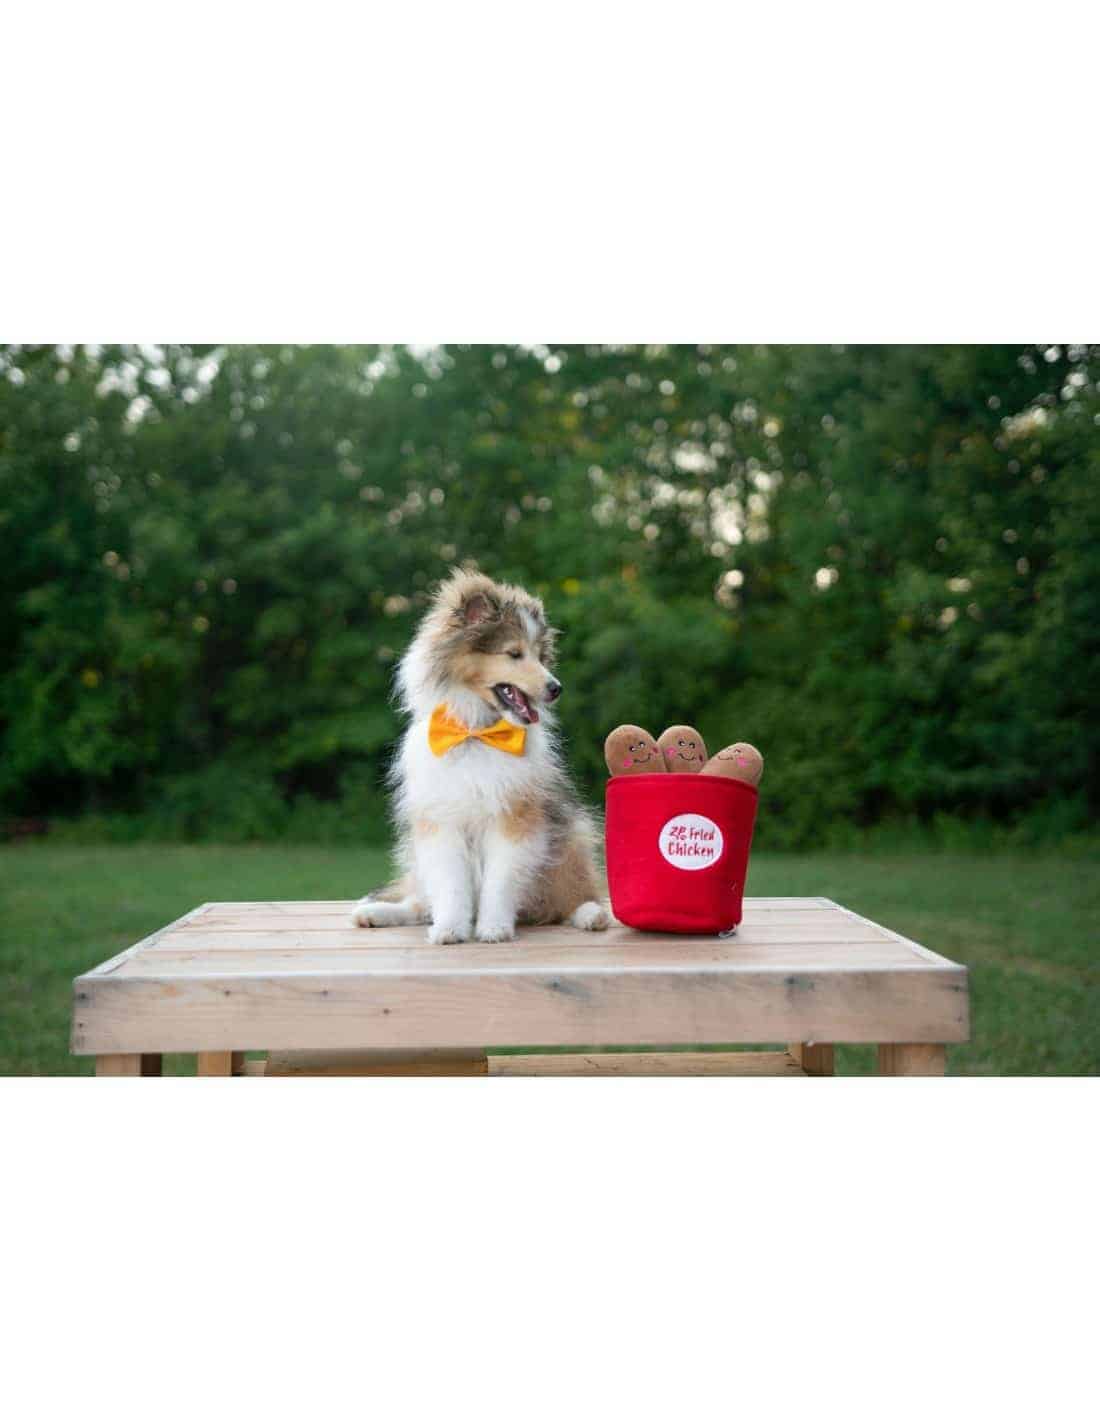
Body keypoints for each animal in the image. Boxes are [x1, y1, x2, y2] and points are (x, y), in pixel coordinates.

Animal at [352, 569, 610, 944]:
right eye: (514, 653)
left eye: (540, 656)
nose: (556, 688)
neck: (477, 734)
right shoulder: (441, 821)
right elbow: (450, 884)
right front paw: (449, 930)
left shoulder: (514, 818)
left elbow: (500, 881)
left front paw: (493, 928)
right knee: (418, 904)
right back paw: (375, 913)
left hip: (569, 841)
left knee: (571, 899)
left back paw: (591, 915)